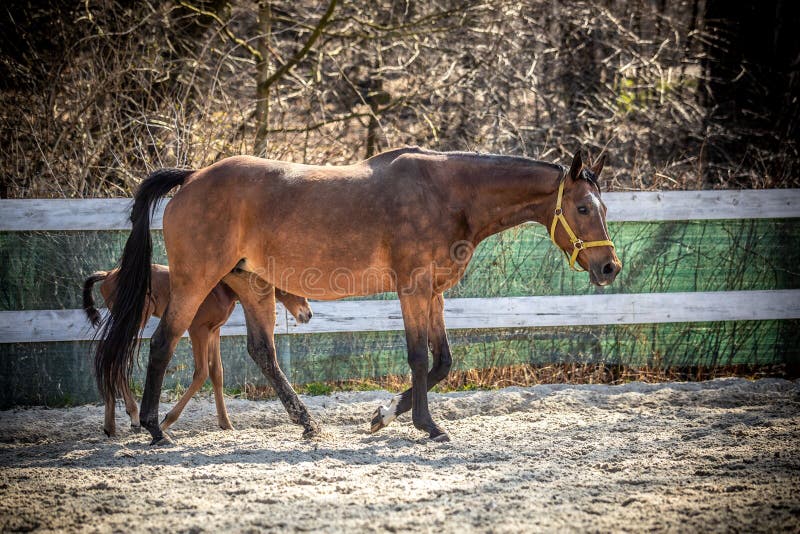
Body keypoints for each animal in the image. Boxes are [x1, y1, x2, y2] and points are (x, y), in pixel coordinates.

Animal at [83, 266, 312, 438]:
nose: (308, 314)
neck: (222, 288)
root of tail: (109, 274)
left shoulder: (214, 331)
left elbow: (217, 372)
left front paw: (226, 424)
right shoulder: (197, 330)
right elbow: (201, 373)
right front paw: (166, 422)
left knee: (110, 356)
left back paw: (111, 425)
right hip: (135, 320)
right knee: (116, 358)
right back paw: (132, 417)